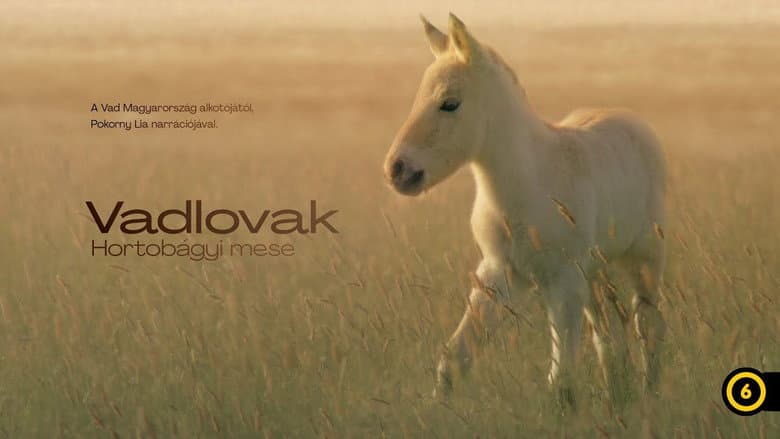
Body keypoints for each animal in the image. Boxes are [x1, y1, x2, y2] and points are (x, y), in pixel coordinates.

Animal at [383, 13, 667, 403]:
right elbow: (454, 358)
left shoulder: (562, 280)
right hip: (594, 271)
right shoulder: (499, 273)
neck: (528, 184)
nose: (397, 169)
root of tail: (631, 119)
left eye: (450, 103)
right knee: (607, 331)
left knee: (648, 323)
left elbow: (561, 379)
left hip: (643, 257)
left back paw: (648, 394)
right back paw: (617, 394)